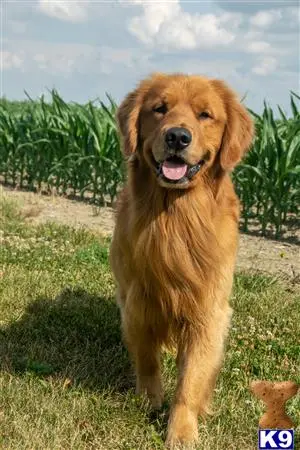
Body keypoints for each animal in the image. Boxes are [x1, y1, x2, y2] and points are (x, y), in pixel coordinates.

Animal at [109, 73, 253, 446]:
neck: (176, 220)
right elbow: (146, 356)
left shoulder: (208, 311)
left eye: (205, 115)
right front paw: (149, 399)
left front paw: (183, 429)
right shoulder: (138, 302)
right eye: (160, 109)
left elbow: (191, 378)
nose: (177, 136)